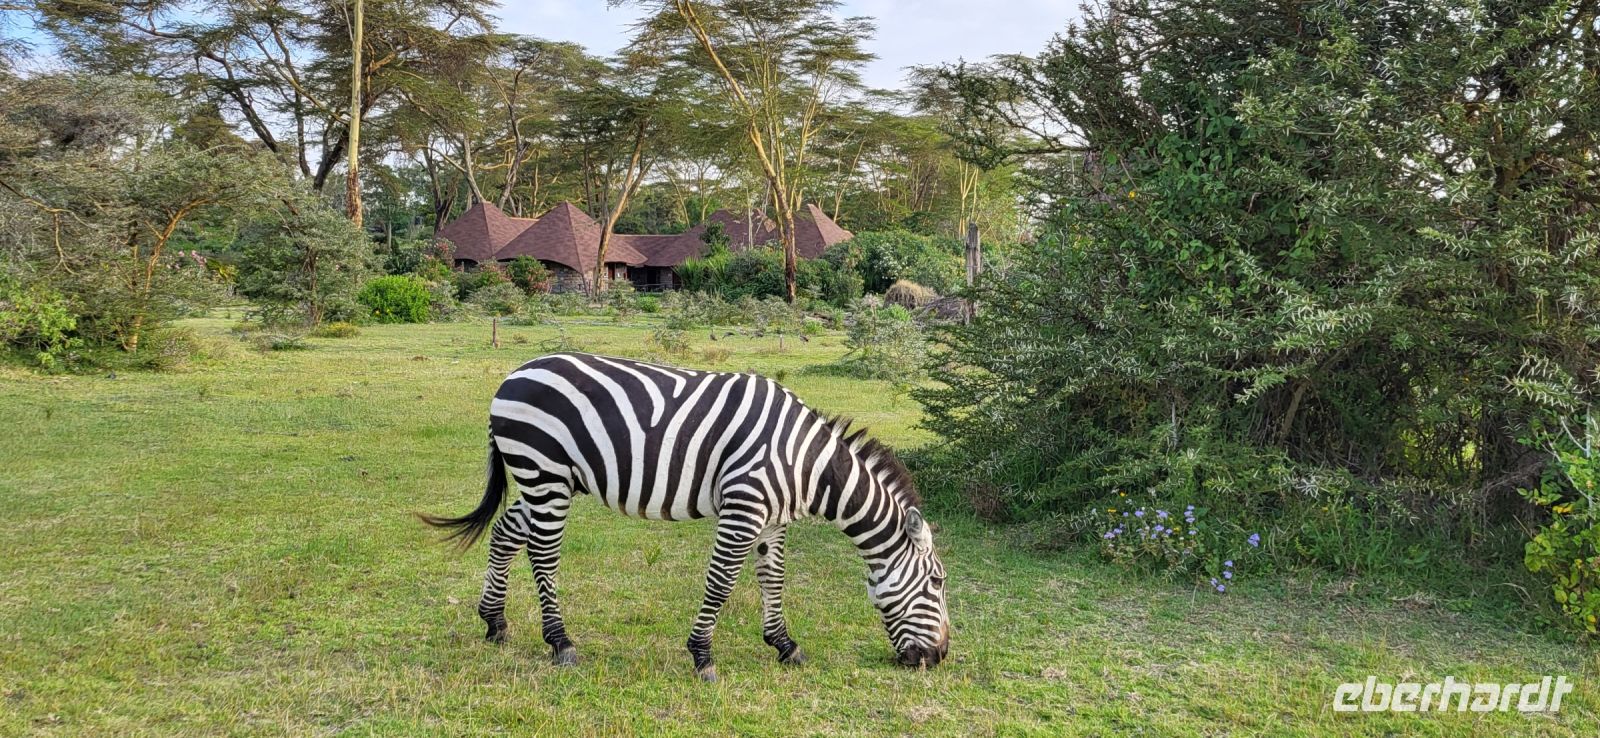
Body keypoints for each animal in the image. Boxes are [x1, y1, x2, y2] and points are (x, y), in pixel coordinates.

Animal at [421, 352, 950, 681]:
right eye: (938, 583)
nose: (940, 657)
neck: (808, 463)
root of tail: (513, 374)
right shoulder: (743, 506)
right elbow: (721, 581)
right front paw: (702, 656)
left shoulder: (772, 517)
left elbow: (773, 577)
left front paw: (784, 645)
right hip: (544, 471)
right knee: (543, 553)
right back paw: (561, 643)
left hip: (544, 479)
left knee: (507, 532)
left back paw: (494, 622)